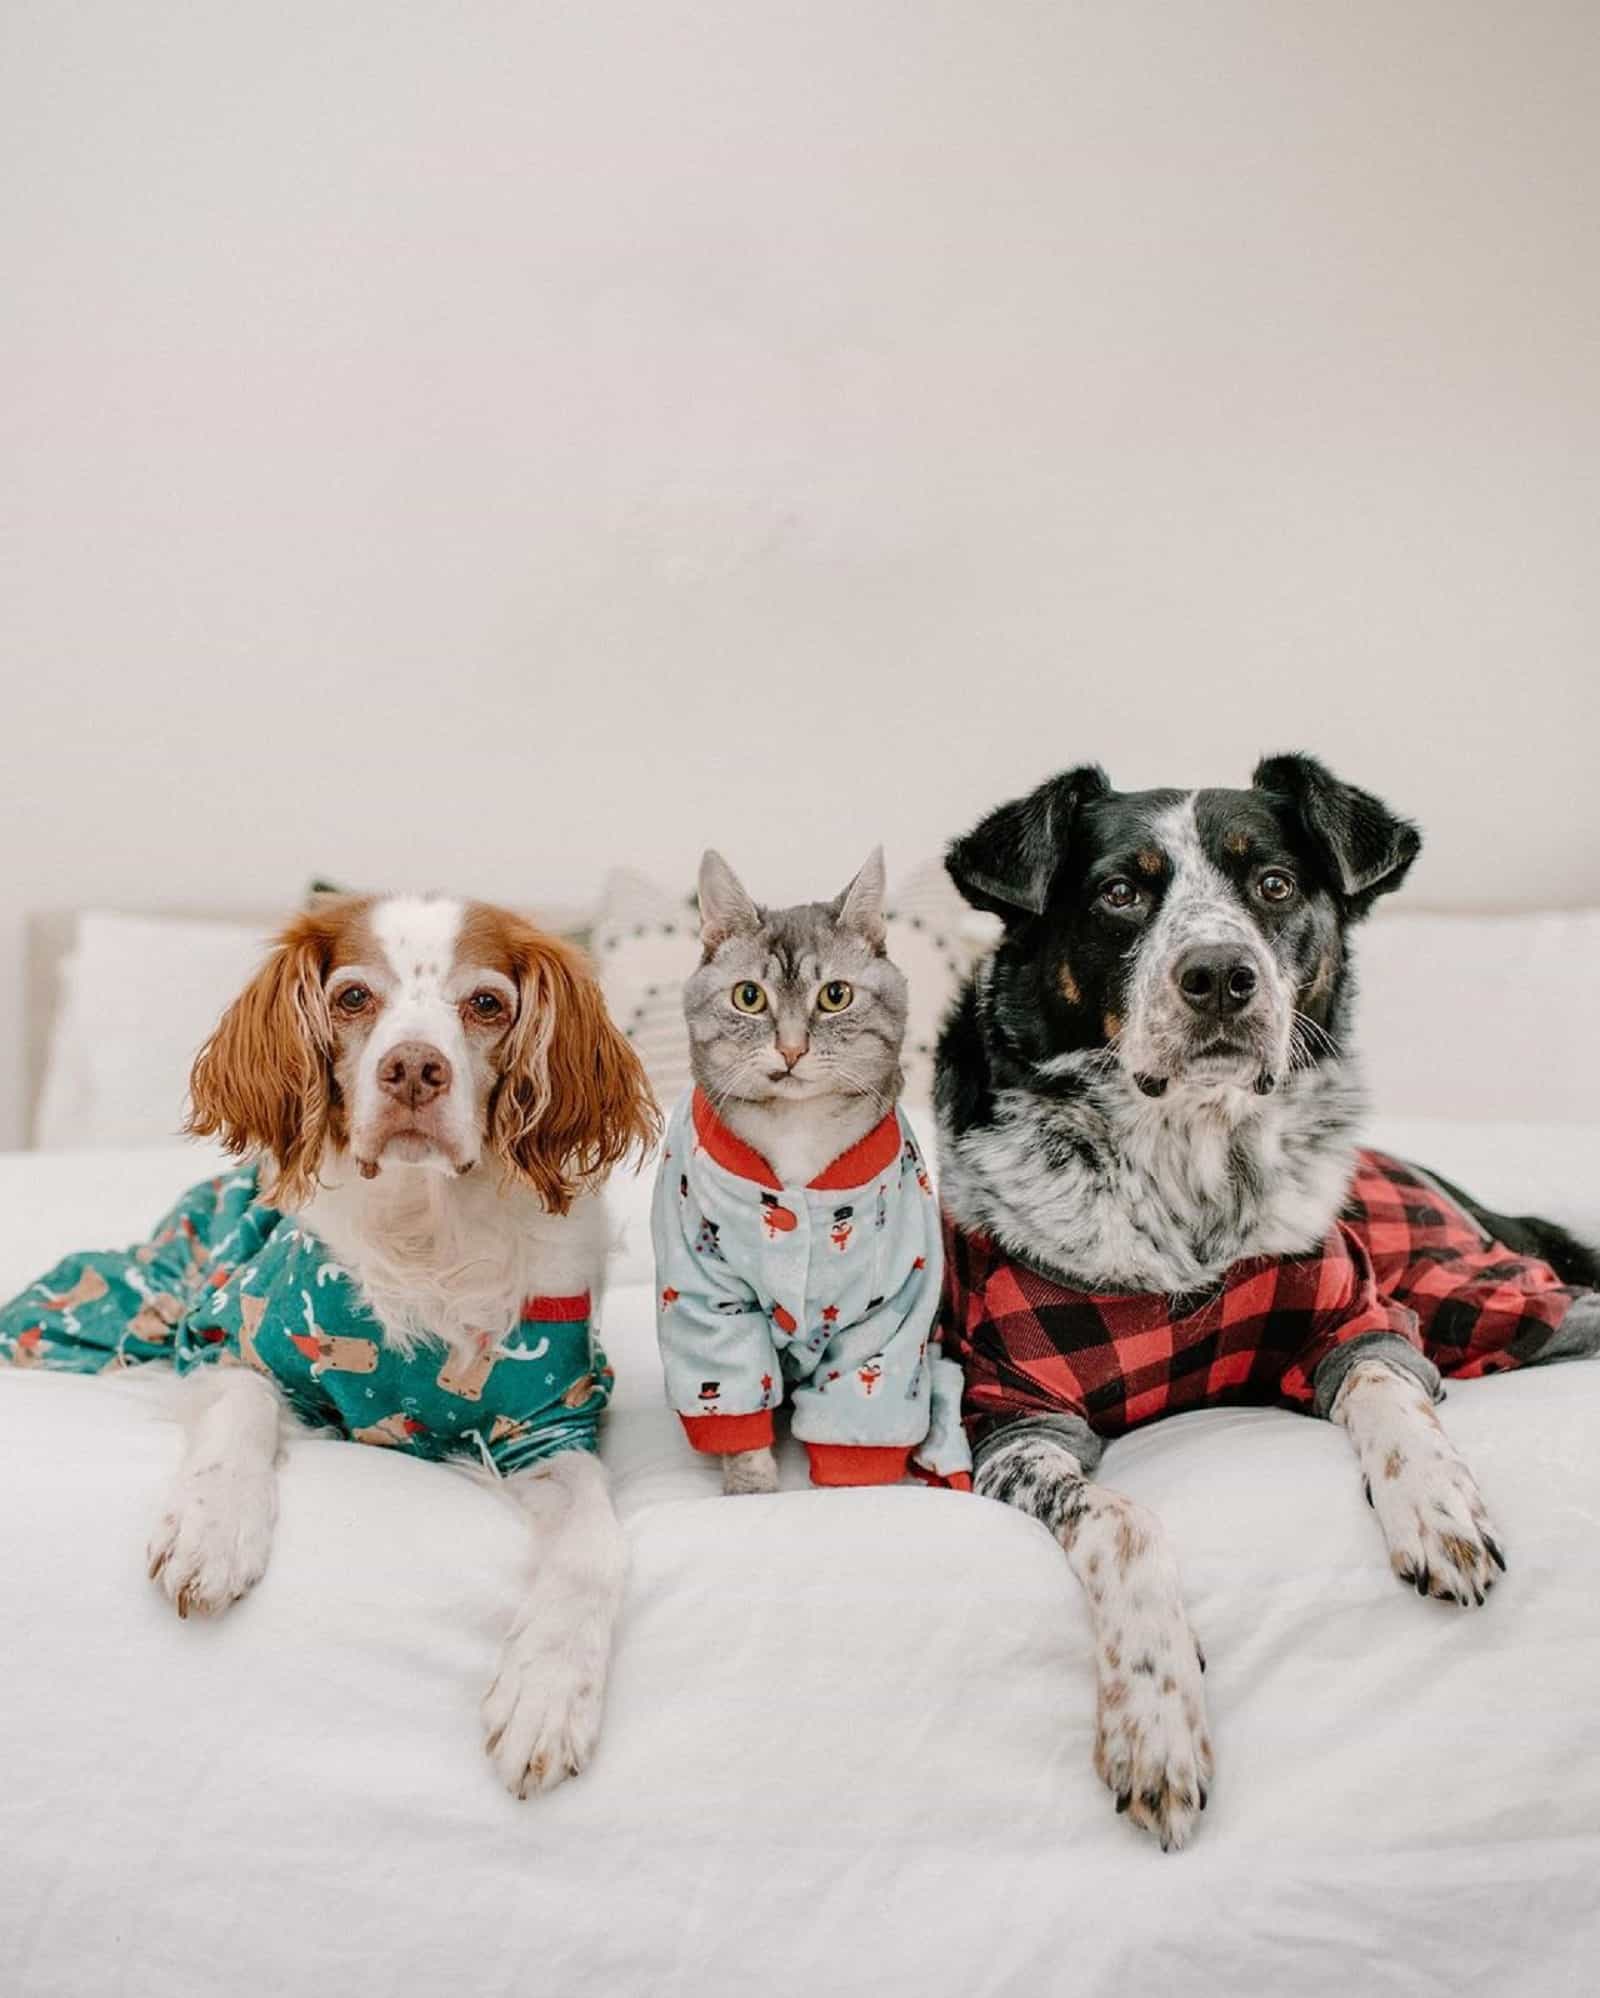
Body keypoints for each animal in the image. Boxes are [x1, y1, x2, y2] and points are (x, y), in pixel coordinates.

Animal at [687, 851, 910, 1494]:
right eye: (748, 997)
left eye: (835, 995)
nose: (790, 1049)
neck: (796, 1129)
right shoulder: (707, 1297)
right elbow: (733, 1389)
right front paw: (752, 1486)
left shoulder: (892, 1309)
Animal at [934, 751, 1598, 1854]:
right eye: (1119, 894)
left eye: (1275, 885)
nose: (1219, 976)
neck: (1190, 1171)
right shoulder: (1016, 1423)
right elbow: (1121, 1518)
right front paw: (1154, 1722)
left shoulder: (1355, 1318)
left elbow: (1385, 1390)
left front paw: (1437, 1506)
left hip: (1496, 1290)